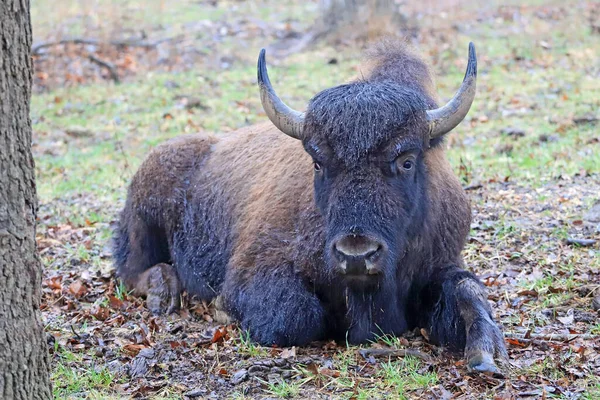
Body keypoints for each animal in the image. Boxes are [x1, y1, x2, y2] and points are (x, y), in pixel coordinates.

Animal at [112, 39, 506, 372]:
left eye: (407, 160)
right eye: (318, 162)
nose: (356, 254)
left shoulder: (442, 263)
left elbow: (468, 290)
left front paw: (486, 354)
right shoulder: (256, 269)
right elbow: (295, 317)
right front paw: (224, 311)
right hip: (144, 223)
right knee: (132, 271)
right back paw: (164, 292)